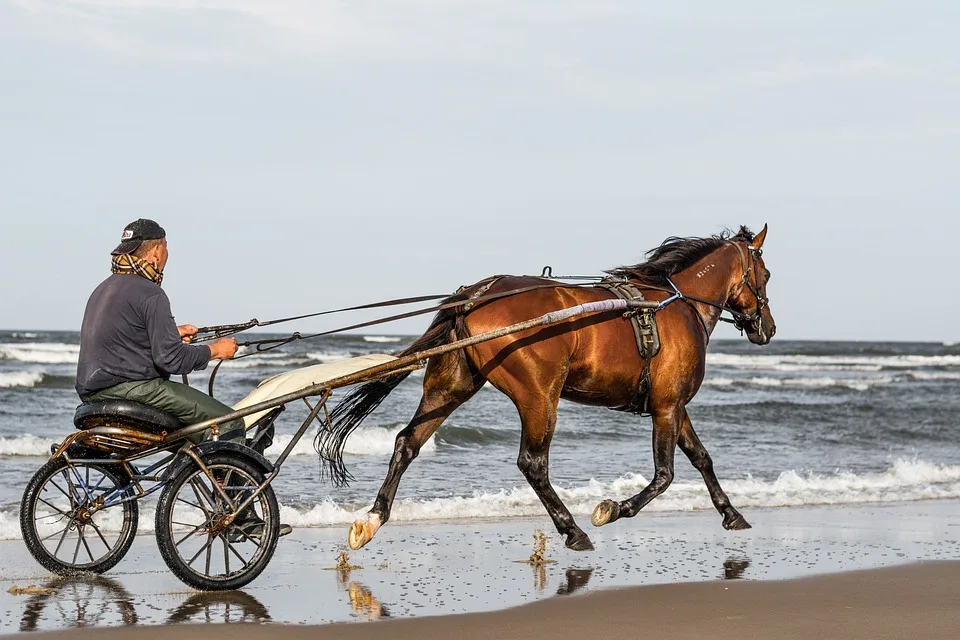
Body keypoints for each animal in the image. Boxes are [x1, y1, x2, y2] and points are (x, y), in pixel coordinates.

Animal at [318, 225, 776, 552]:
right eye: (767, 275)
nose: (767, 328)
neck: (673, 302)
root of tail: (475, 294)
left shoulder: (674, 405)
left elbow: (702, 458)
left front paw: (732, 513)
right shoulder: (667, 405)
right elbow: (665, 474)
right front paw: (613, 508)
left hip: (450, 388)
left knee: (407, 443)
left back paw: (372, 519)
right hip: (540, 397)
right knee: (533, 464)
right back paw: (572, 529)